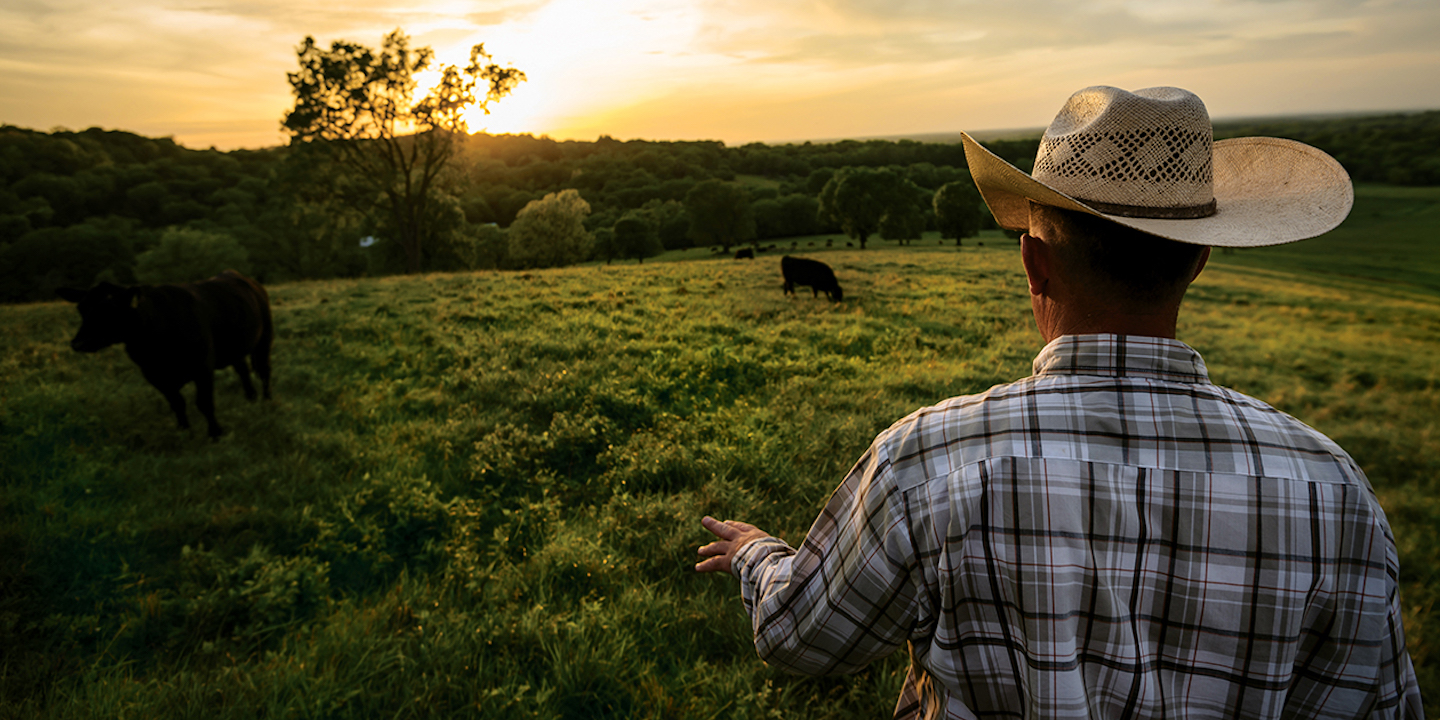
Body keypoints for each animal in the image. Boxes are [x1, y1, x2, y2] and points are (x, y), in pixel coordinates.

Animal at [56, 270, 272, 437]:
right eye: (81, 308)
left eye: (110, 309)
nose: (79, 343)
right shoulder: (154, 374)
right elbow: (177, 403)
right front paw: (185, 431)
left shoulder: (202, 367)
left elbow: (204, 403)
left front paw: (215, 433)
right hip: (236, 348)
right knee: (243, 370)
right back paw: (251, 398)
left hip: (264, 338)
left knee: (264, 371)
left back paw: (267, 401)